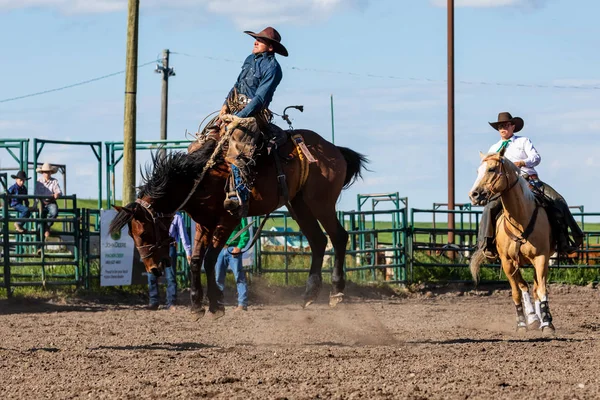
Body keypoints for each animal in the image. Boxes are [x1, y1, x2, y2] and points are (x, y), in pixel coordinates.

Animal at [110, 122, 368, 318]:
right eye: (131, 234)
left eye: (143, 233)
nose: (153, 269)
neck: (201, 176)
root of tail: (333, 149)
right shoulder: (203, 224)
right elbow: (196, 260)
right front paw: (196, 305)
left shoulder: (228, 220)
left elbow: (210, 259)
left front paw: (216, 304)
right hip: (298, 204)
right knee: (317, 241)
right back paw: (309, 294)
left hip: (320, 202)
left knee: (338, 236)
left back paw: (336, 292)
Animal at [468, 152, 556, 336]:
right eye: (478, 170)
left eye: (492, 169)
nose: (474, 195)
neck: (520, 219)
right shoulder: (507, 261)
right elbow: (516, 292)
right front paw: (522, 323)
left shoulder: (541, 258)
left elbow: (542, 289)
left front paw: (547, 323)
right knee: (524, 286)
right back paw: (532, 318)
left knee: (535, 288)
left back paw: (540, 318)